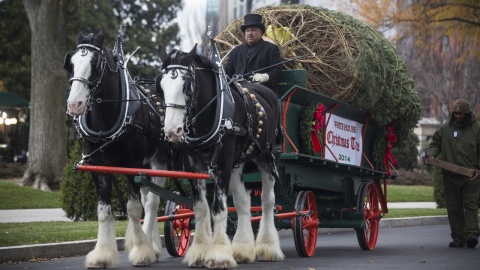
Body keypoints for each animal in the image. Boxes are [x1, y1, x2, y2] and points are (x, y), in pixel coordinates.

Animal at [63, 30, 166, 268]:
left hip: (160, 162)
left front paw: (141, 251)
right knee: (148, 198)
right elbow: (103, 211)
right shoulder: (99, 166)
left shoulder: (132, 164)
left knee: (153, 202)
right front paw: (102, 254)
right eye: (71, 64)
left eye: (95, 64)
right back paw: (154, 246)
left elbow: (134, 208)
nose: (74, 105)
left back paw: (150, 245)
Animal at [158, 44, 284, 268]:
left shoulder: (223, 166)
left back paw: (268, 247)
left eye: (186, 86)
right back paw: (243, 249)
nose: (172, 131)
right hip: (238, 165)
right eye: (161, 86)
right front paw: (200, 252)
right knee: (243, 201)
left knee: (268, 201)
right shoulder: (195, 168)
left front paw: (218, 254)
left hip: (268, 158)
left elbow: (219, 210)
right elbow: (201, 209)